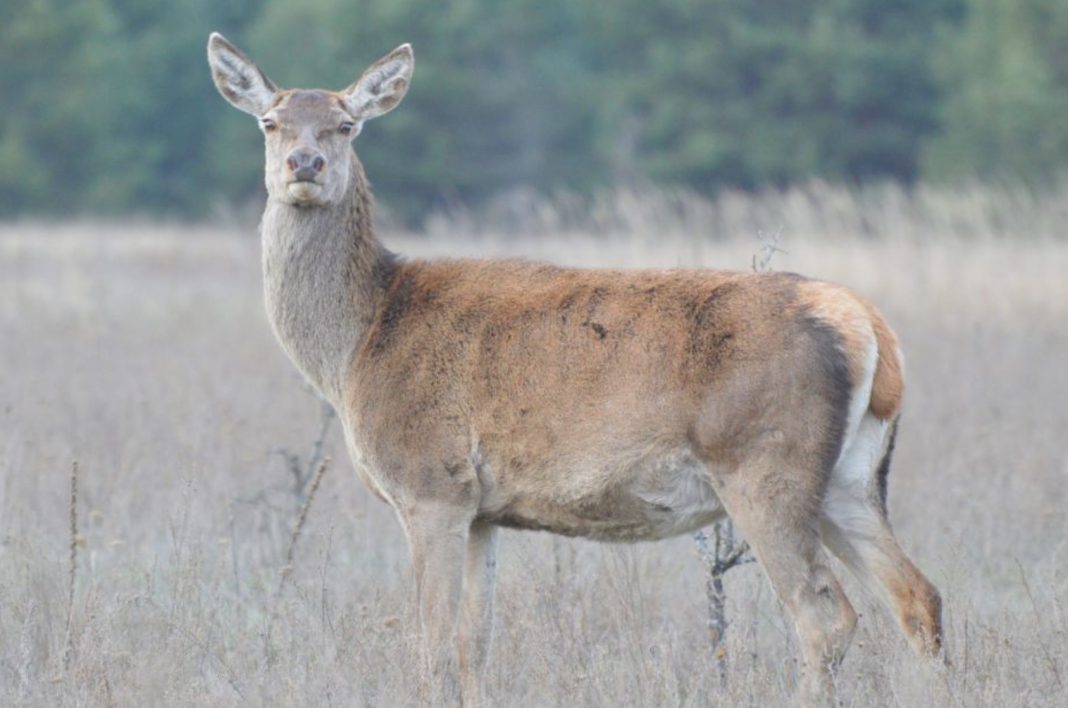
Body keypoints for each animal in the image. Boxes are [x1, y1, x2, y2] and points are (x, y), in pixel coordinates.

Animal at [207, 33, 943, 707]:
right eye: (270, 121)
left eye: (346, 123)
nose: (305, 162)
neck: (357, 342)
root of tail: (868, 327)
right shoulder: (480, 508)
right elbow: (475, 643)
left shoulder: (429, 482)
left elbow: (432, 648)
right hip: (851, 474)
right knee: (918, 596)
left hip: (765, 462)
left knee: (825, 617)